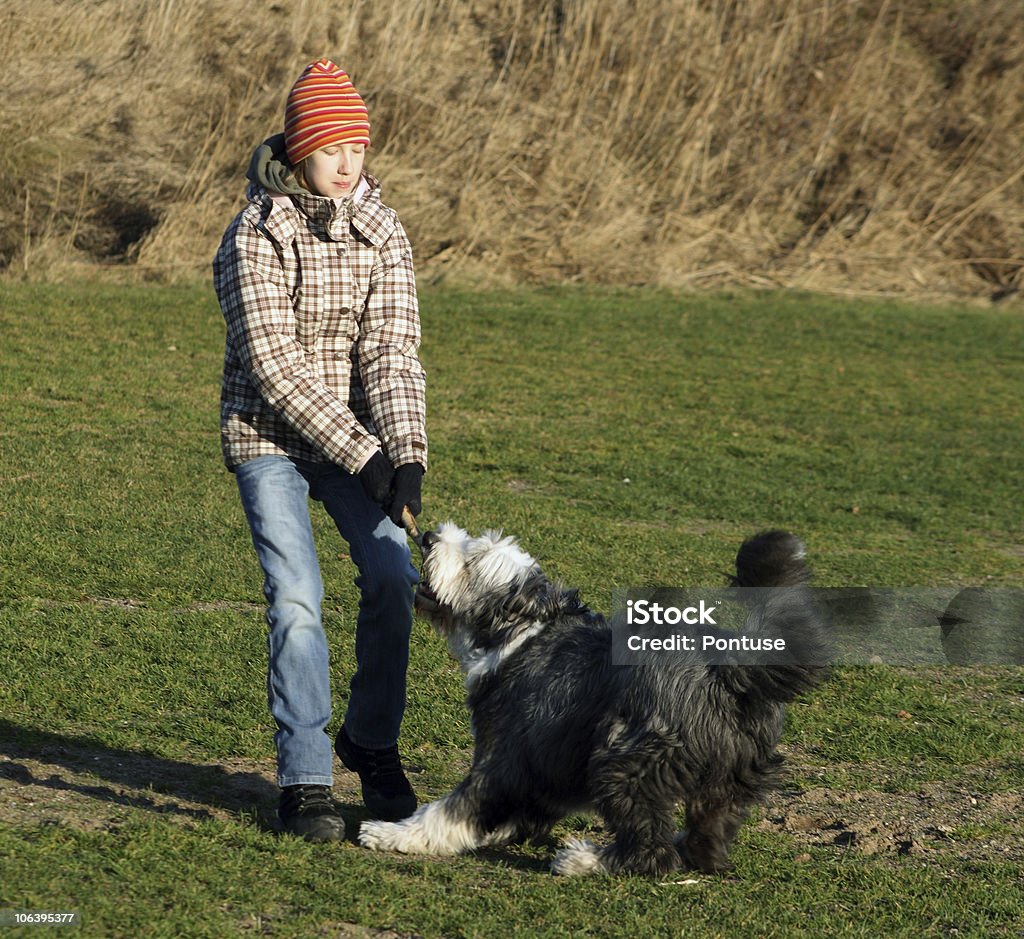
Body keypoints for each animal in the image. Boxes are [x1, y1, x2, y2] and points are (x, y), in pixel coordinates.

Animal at [360, 524, 831, 876]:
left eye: (472, 560)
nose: (429, 536)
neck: (522, 631)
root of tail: (730, 673)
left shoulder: (505, 753)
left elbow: (453, 809)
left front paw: (391, 834)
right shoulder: (544, 760)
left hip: (625, 760)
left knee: (651, 851)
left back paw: (585, 861)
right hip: (729, 778)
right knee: (706, 840)